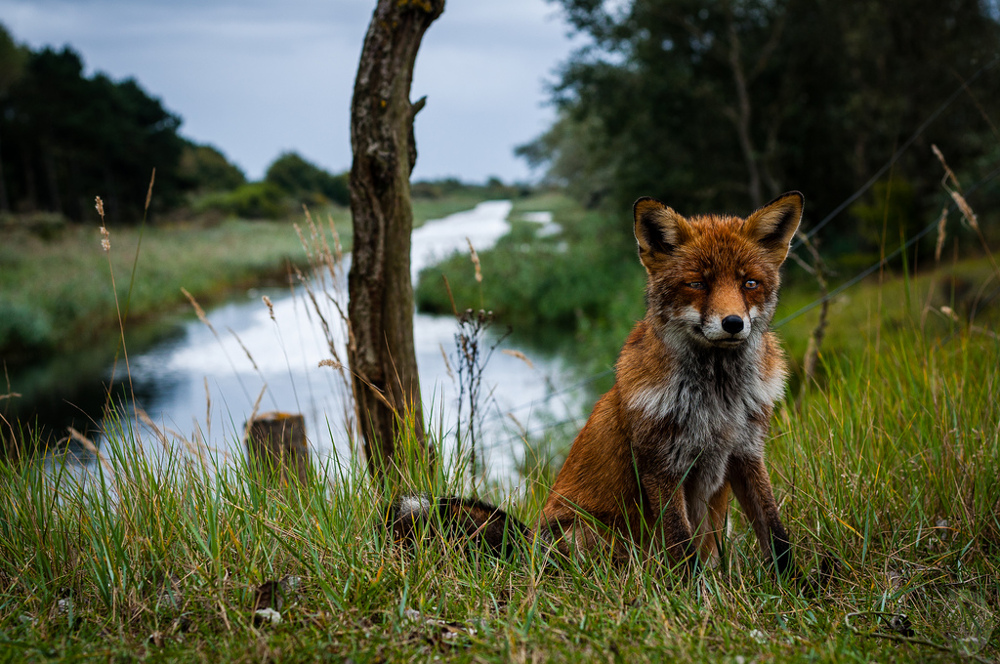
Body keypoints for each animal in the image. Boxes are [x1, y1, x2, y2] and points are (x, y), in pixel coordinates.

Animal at [390, 191, 804, 580]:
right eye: (697, 284)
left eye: (749, 283)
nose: (733, 323)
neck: (719, 398)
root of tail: (528, 542)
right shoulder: (662, 464)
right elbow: (681, 546)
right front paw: (692, 595)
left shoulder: (747, 453)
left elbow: (776, 535)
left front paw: (796, 587)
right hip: (588, 535)